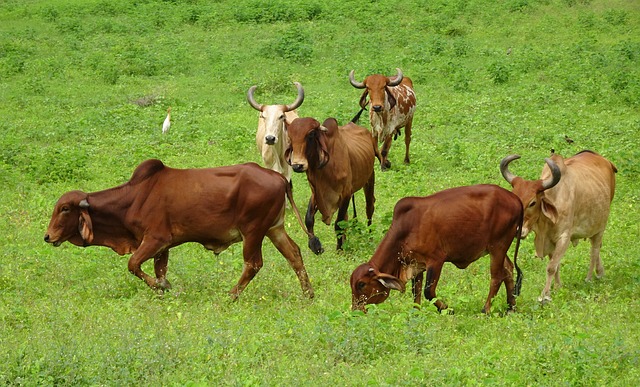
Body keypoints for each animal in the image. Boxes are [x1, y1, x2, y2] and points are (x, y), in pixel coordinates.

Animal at [43, 160, 316, 300]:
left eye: (65, 209)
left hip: (253, 232)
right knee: (294, 254)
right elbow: (158, 270)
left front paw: (163, 287)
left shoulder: (155, 239)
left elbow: (133, 265)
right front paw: (164, 289)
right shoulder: (162, 247)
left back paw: (230, 295)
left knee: (253, 264)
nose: (48, 236)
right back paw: (308, 293)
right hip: (274, 229)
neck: (134, 198)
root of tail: (278, 177)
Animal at [284, 116, 376, 256]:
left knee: (369, 208)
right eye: (290, 136)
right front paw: (314, 245)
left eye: (311, 134)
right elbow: (308, 219)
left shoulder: (346, 194)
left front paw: (339, 249)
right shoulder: (316, 193)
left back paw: (370, 237)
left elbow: (338, 224)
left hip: (370, 177)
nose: (297, 165)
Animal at [350, 185, 524, 316]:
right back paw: (511, 308)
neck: (406, 229)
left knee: (496, 276)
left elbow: (428, 291)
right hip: (499, 247)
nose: (355, 311)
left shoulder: (436, 260)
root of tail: (515, 199)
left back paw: (486, 310)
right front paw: (416, 313)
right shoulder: (416, 264)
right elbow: (416, 292)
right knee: (508, 269)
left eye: (361, 284)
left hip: (498, 246)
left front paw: (448, 310)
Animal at [498, 150, 616, 304]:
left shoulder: (563, 238)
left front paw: (545, 295)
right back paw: (600, 272)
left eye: (532, 203)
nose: (518, 231)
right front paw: (557, 287)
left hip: (600, 227)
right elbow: (556, 264)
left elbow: (551, 267)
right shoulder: (550, 242)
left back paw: (589, 278)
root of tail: (605, 161)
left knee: (594, 251)